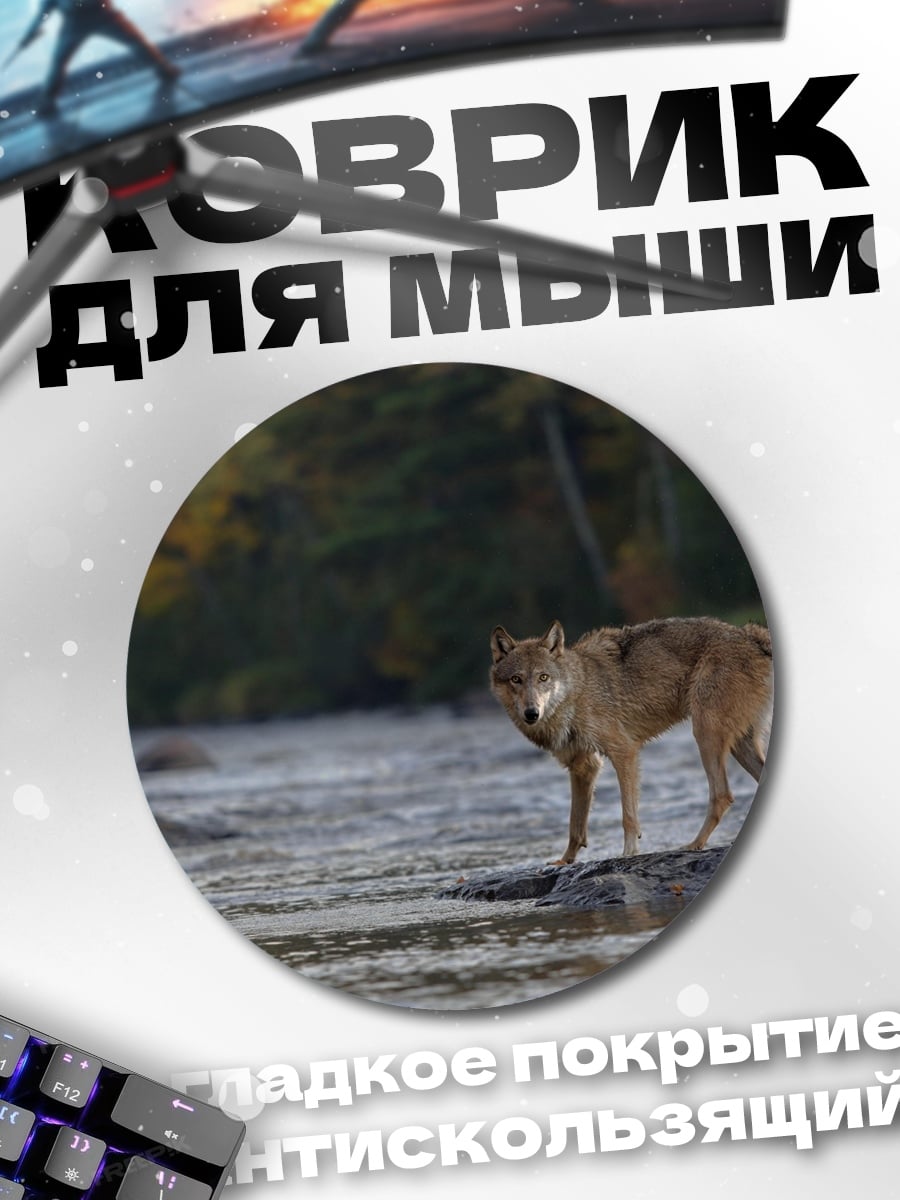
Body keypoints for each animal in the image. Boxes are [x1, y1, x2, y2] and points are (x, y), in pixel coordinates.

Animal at [489, 616, 773, 863]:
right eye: (516, 679)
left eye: (543, 678)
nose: (531, 713)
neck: (576, 693)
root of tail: (750, 634)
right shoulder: (583, 766)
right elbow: (575, 825)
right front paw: (564, 861)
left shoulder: (624, 751)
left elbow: (627, 815)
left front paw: (628, 853)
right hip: (737, 745)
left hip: (705, 733)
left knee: (722, 795)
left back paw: (693, 845)